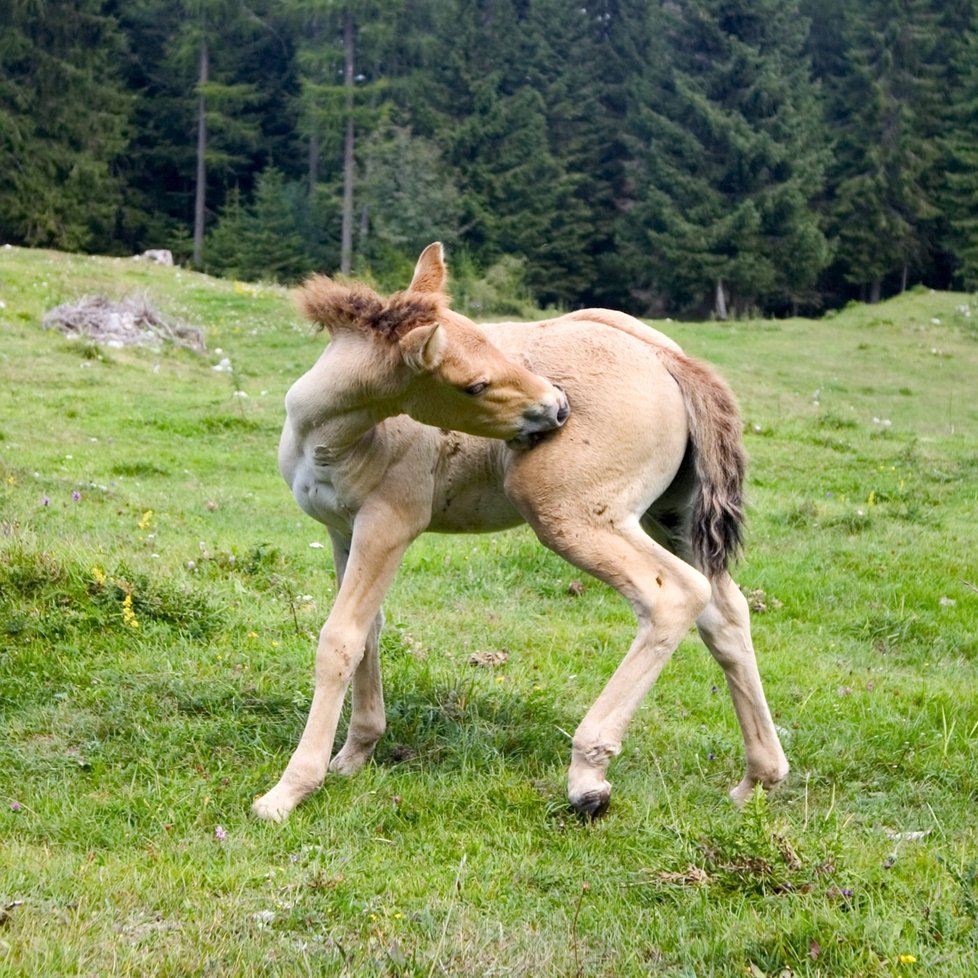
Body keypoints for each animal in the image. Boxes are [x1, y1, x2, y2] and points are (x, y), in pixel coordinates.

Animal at [252, 240, 784, 820]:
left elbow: (340, 640)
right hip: (669, 520)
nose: (558, 406)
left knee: (673, 596)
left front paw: (289, 790)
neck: (327, 435)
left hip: (572, 516)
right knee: (725, 613)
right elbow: (368, 632)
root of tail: (668, 359)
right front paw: (353, 757)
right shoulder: (343, 530)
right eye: (475, 383)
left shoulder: (389, 523)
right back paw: (759, 778)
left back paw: (588, 777)